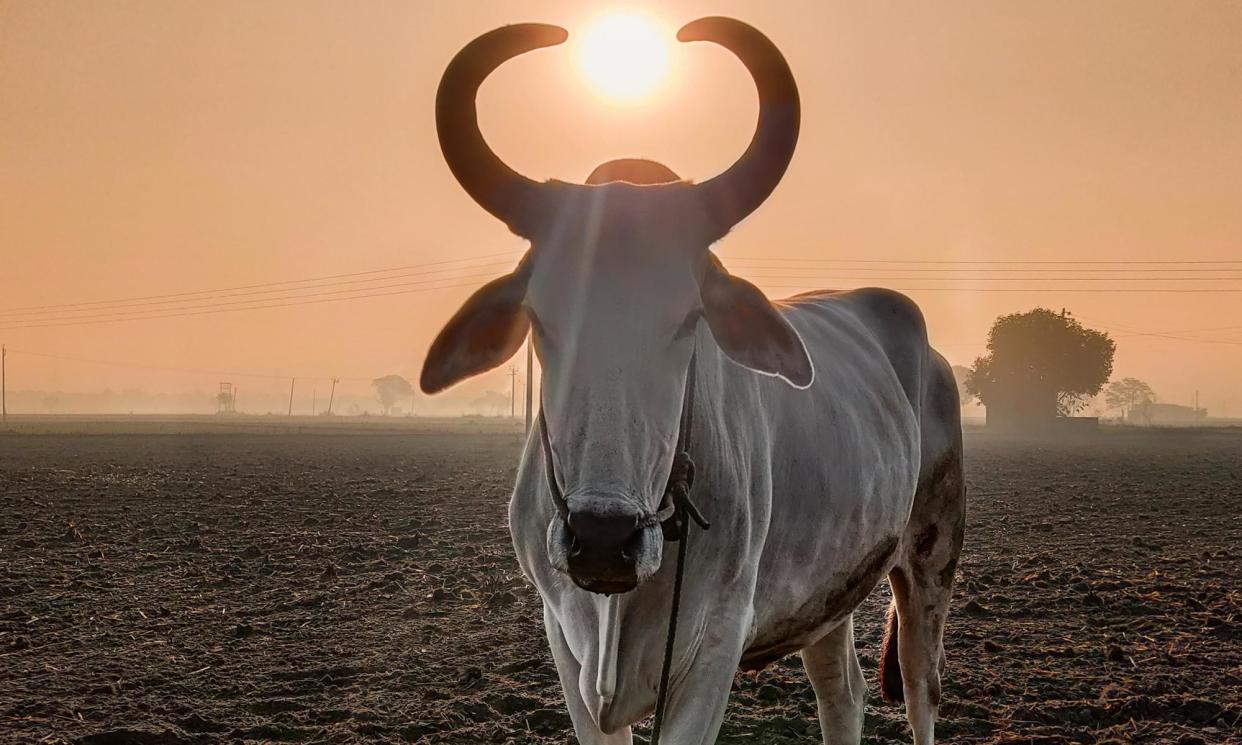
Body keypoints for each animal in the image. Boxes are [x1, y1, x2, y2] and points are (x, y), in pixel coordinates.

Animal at [422, 17, 963, 745]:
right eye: (540, 315)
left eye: (690, 317)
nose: (603, 538)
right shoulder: (565, 641)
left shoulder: (714, 647)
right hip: (832, 587)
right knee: (841, 692)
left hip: (932, 558)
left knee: (920, 691)